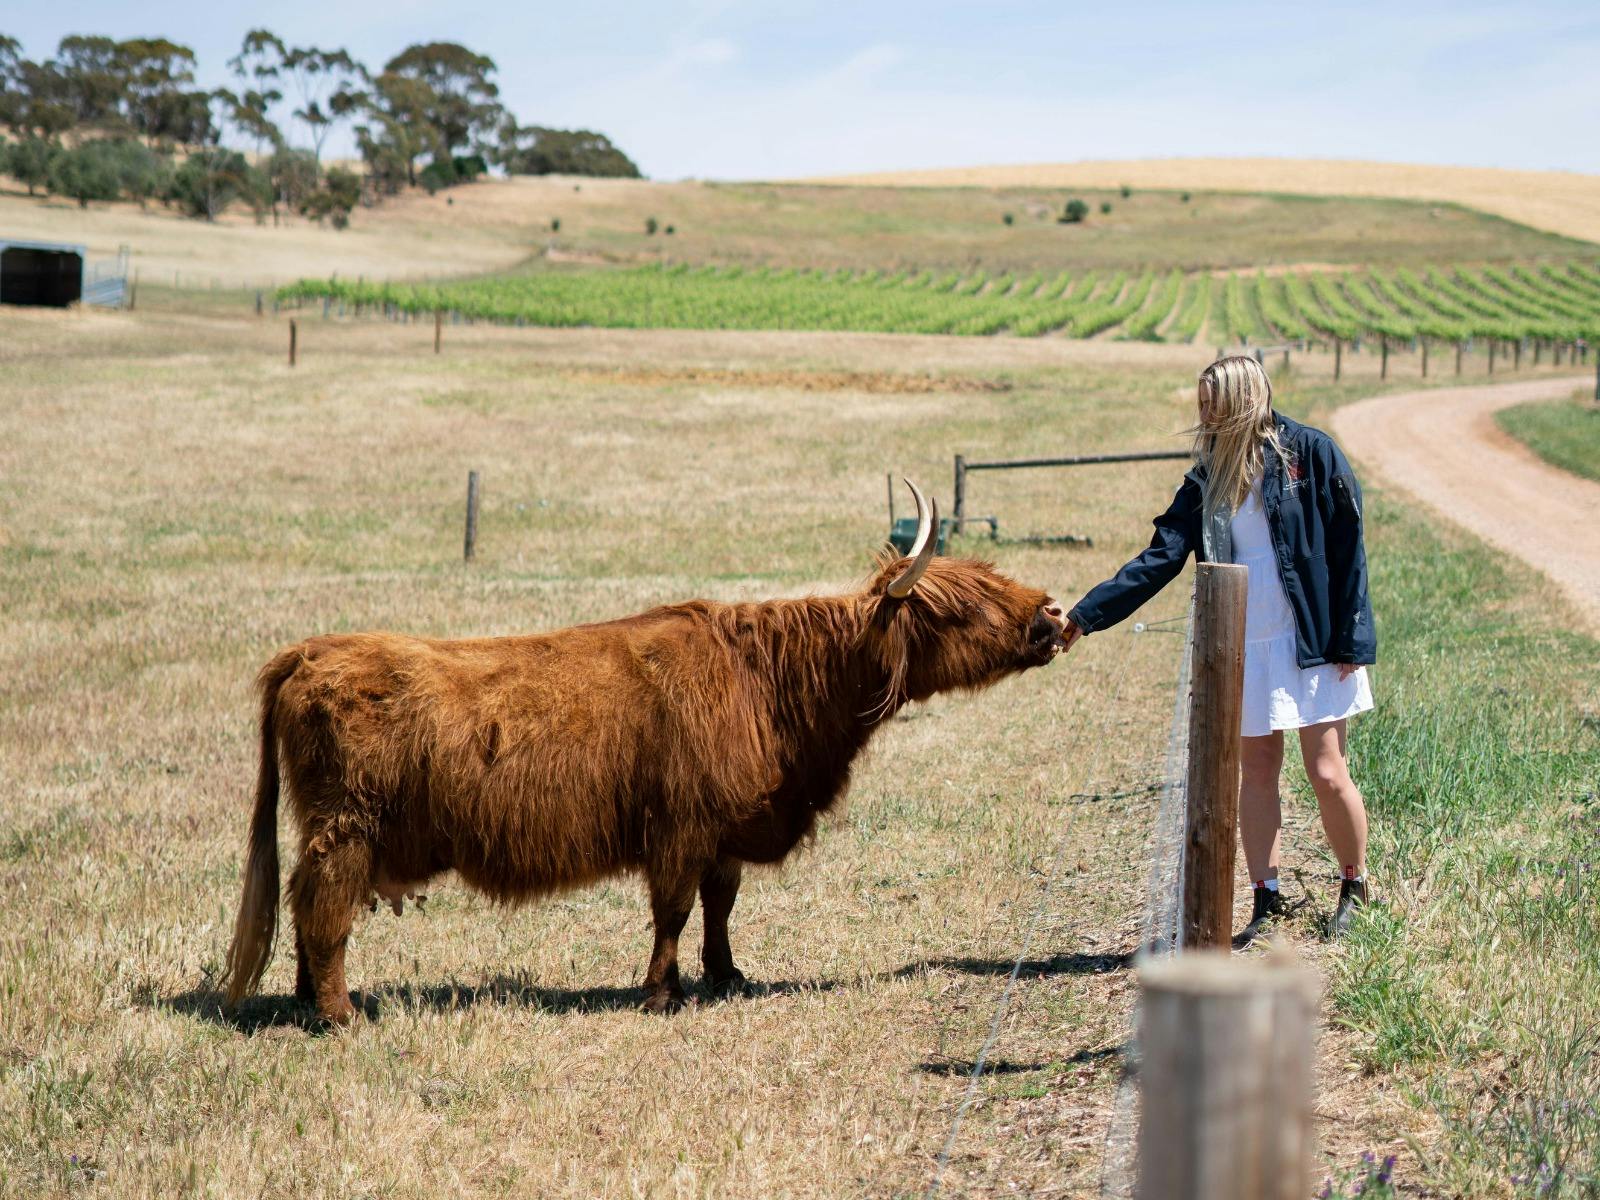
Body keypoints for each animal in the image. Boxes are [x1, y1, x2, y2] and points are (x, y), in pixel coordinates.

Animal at [221, 481, 1068, 1025]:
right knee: (324, 905)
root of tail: (311, 650)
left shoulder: (724, 830)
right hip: (348, 826)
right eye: (962, 607)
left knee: (303, 901)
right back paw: (339, 1013)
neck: (768, 683)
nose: (1053, 615)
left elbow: (721, 905)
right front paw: (663, 993)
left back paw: (305, 1001)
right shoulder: (680, 827)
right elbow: (674, 910)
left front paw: (726, 976)